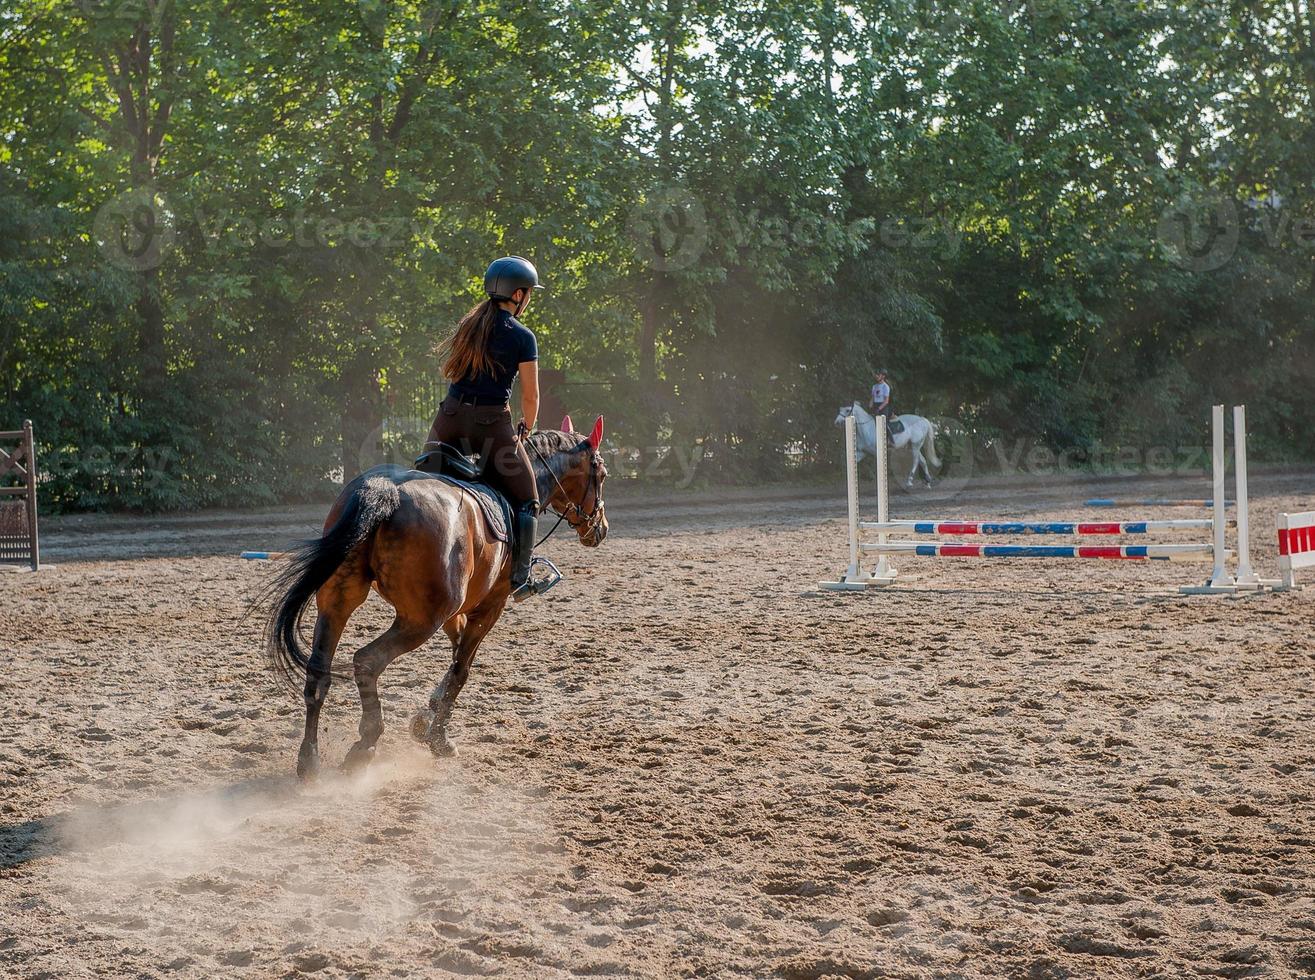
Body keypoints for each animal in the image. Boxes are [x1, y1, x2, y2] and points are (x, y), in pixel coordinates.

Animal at [272, 415, 610, 773]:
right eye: (601, 475)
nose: (600, 529)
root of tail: (385, 491)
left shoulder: (455, 611)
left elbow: (455, 655)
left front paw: (428, 716)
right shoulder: (489, 606)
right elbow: (461, 668)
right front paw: (438, 737)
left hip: (339, 602)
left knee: (318, 671)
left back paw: (309, 761)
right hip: (420, 620)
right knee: (367, 660)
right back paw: (365, 744)